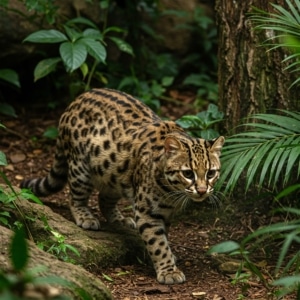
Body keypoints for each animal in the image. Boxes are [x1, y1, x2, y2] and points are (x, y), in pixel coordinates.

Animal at [19, 88, 224, 284]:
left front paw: (168, 258)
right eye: (188, 173)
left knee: (103, 198)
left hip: (114, 175)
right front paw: (168, 270)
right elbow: (157, 242)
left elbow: (164, 236)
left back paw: (119, 219)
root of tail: (76, 100)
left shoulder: (166, 212)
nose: (202, 190)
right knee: (75, 197)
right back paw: (85, 216)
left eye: (211, 173)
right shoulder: (147, 212)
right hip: (80, 168)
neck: (171, 191)